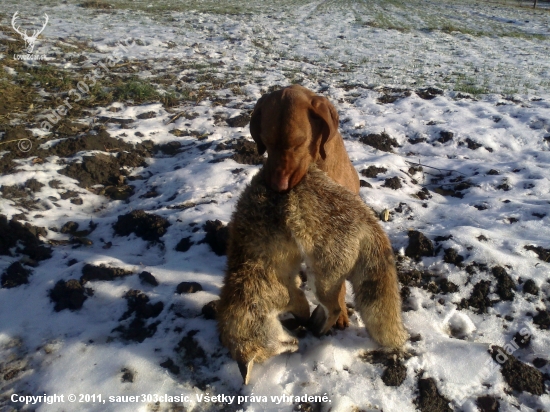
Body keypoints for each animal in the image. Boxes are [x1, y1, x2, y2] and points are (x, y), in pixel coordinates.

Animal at [218, 163, 408, 384]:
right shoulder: (292, 282)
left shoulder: (290, 295)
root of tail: (366, 215)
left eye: (277, 347)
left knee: (334, 309)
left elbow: (301, 311)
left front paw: (302, 323)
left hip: (320, 279)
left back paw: (318, 329)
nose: (295, 344)